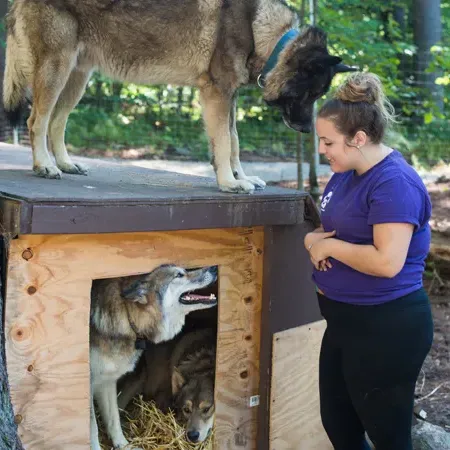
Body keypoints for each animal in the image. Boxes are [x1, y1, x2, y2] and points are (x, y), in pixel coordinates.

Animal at [2, 0, 356, 192]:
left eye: (318, 95)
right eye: (310, 93)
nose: (309, 131)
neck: (261, 28)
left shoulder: (229, 99)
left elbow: (235, 142)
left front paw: (242, 177)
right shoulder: (217, 95)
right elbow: (224, 144)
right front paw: (229, 183)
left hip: (77, 79)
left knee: (56, 123)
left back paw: (64, 163)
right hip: (57, 71)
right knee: (36, 121)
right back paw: (44, 166)